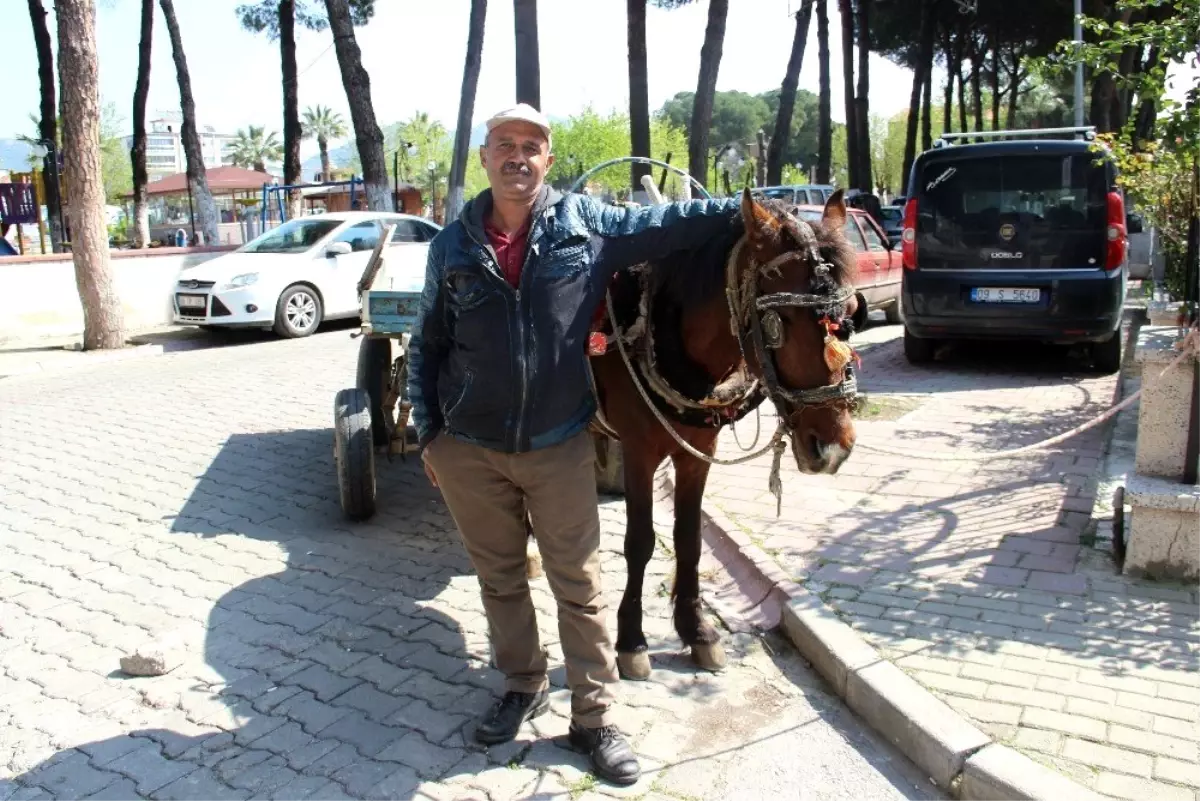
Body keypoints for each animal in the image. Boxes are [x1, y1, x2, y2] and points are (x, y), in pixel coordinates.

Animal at [585, 189, 859, 681]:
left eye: (848, 315)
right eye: (782, 320)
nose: (834, 449)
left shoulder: (698, 453)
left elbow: (688, 539)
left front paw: (696, 630)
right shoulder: (638, 452)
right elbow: (640, 542)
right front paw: (631, 639)